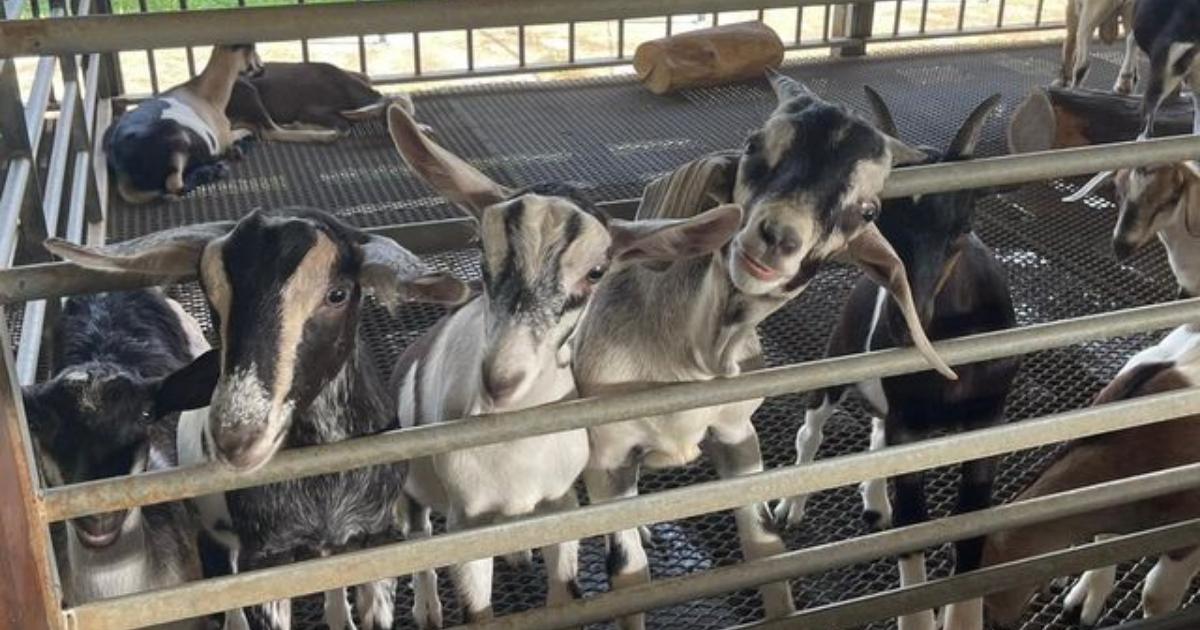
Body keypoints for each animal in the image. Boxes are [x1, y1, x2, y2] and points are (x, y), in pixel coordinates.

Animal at [105, 44, 262, 205]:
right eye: (253, 48)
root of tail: (122, 170)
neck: (206, 94)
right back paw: (215, 169)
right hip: (177, 141)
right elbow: (247, 131)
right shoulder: (224, 136)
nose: (262, 68)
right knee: (174, 185)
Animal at [227, 62, 414, 143]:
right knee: (270, 131)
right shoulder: (310, 110)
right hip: (249, 92)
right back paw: (320, 134)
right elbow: (345, 127)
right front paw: (303, 125)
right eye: (391, 115)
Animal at [385, 104, 742, 627]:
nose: (501, 380)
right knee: (415, 536)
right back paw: (428, 609)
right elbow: (476, 607)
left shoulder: (562, 504)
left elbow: (564, 594)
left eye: (596, 272)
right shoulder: (466, 524)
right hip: (412, 489)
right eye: (480, 247)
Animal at [570, 70, 956, 630]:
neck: (692, 357)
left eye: (868, 209)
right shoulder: (610, 451)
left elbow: (765, 549)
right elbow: (627, 576)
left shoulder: (736, 436)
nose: (777, 236)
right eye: (754, 145)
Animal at [771, 89, 1017, 630]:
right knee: (812, 432)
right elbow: (914, 527)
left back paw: (873, 503)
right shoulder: (909, 425)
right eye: (880, 218)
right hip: (837, 358)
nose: (904, 324)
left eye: (963, 226)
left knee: (876, 432)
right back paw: (791, 508)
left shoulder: (987, 422)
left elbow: (971, 525)